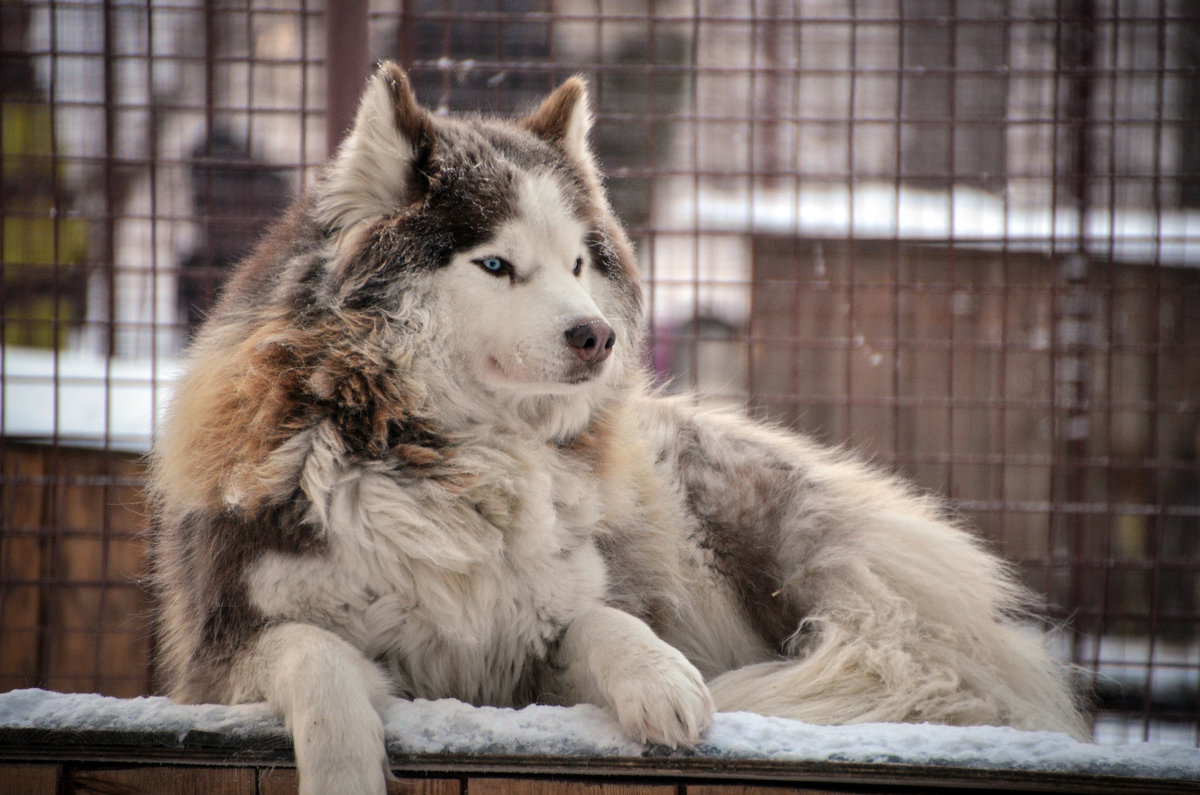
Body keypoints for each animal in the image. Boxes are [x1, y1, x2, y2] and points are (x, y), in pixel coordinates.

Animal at [152, 63, 1089, 795]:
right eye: (496, 263)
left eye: (577, 263)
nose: (595, 336)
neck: (450, 454)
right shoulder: (220, 654)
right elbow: (318, 660)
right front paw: (344, 765)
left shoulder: (534, 651)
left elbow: (607, 622)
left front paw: (662, 680)